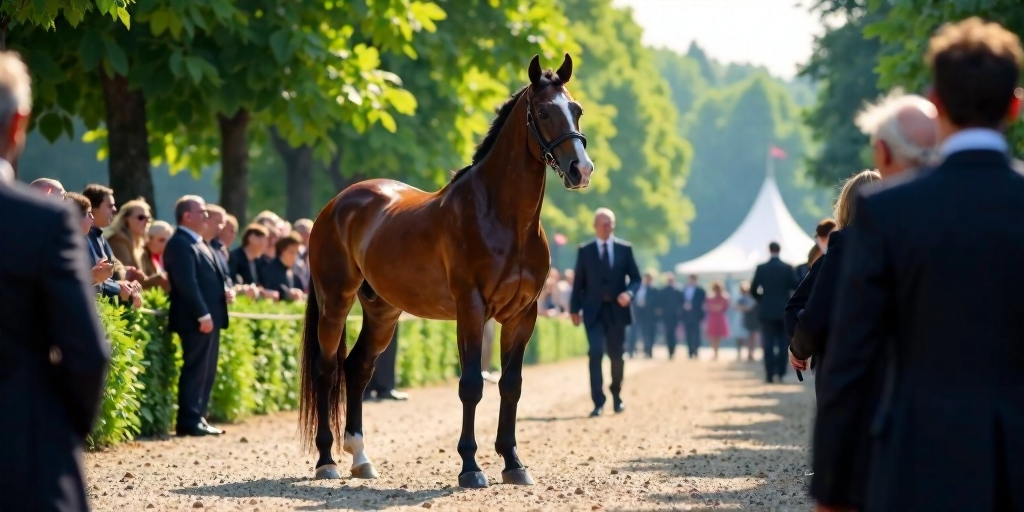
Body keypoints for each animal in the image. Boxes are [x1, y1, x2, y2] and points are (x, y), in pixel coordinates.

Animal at [296, 54, 598, 489]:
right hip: (335, 301)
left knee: (357, 368)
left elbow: (511, 385)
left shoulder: (522, 315)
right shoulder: (471, 309)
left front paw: (513, 463)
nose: (581, 170)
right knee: (325, 369)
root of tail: (336, 204)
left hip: (382, 311)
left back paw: (361, 459)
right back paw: (326, 461)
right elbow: (471, 385)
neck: (504, 219)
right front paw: (471, 467)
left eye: (576, 109)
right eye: (543, 111)